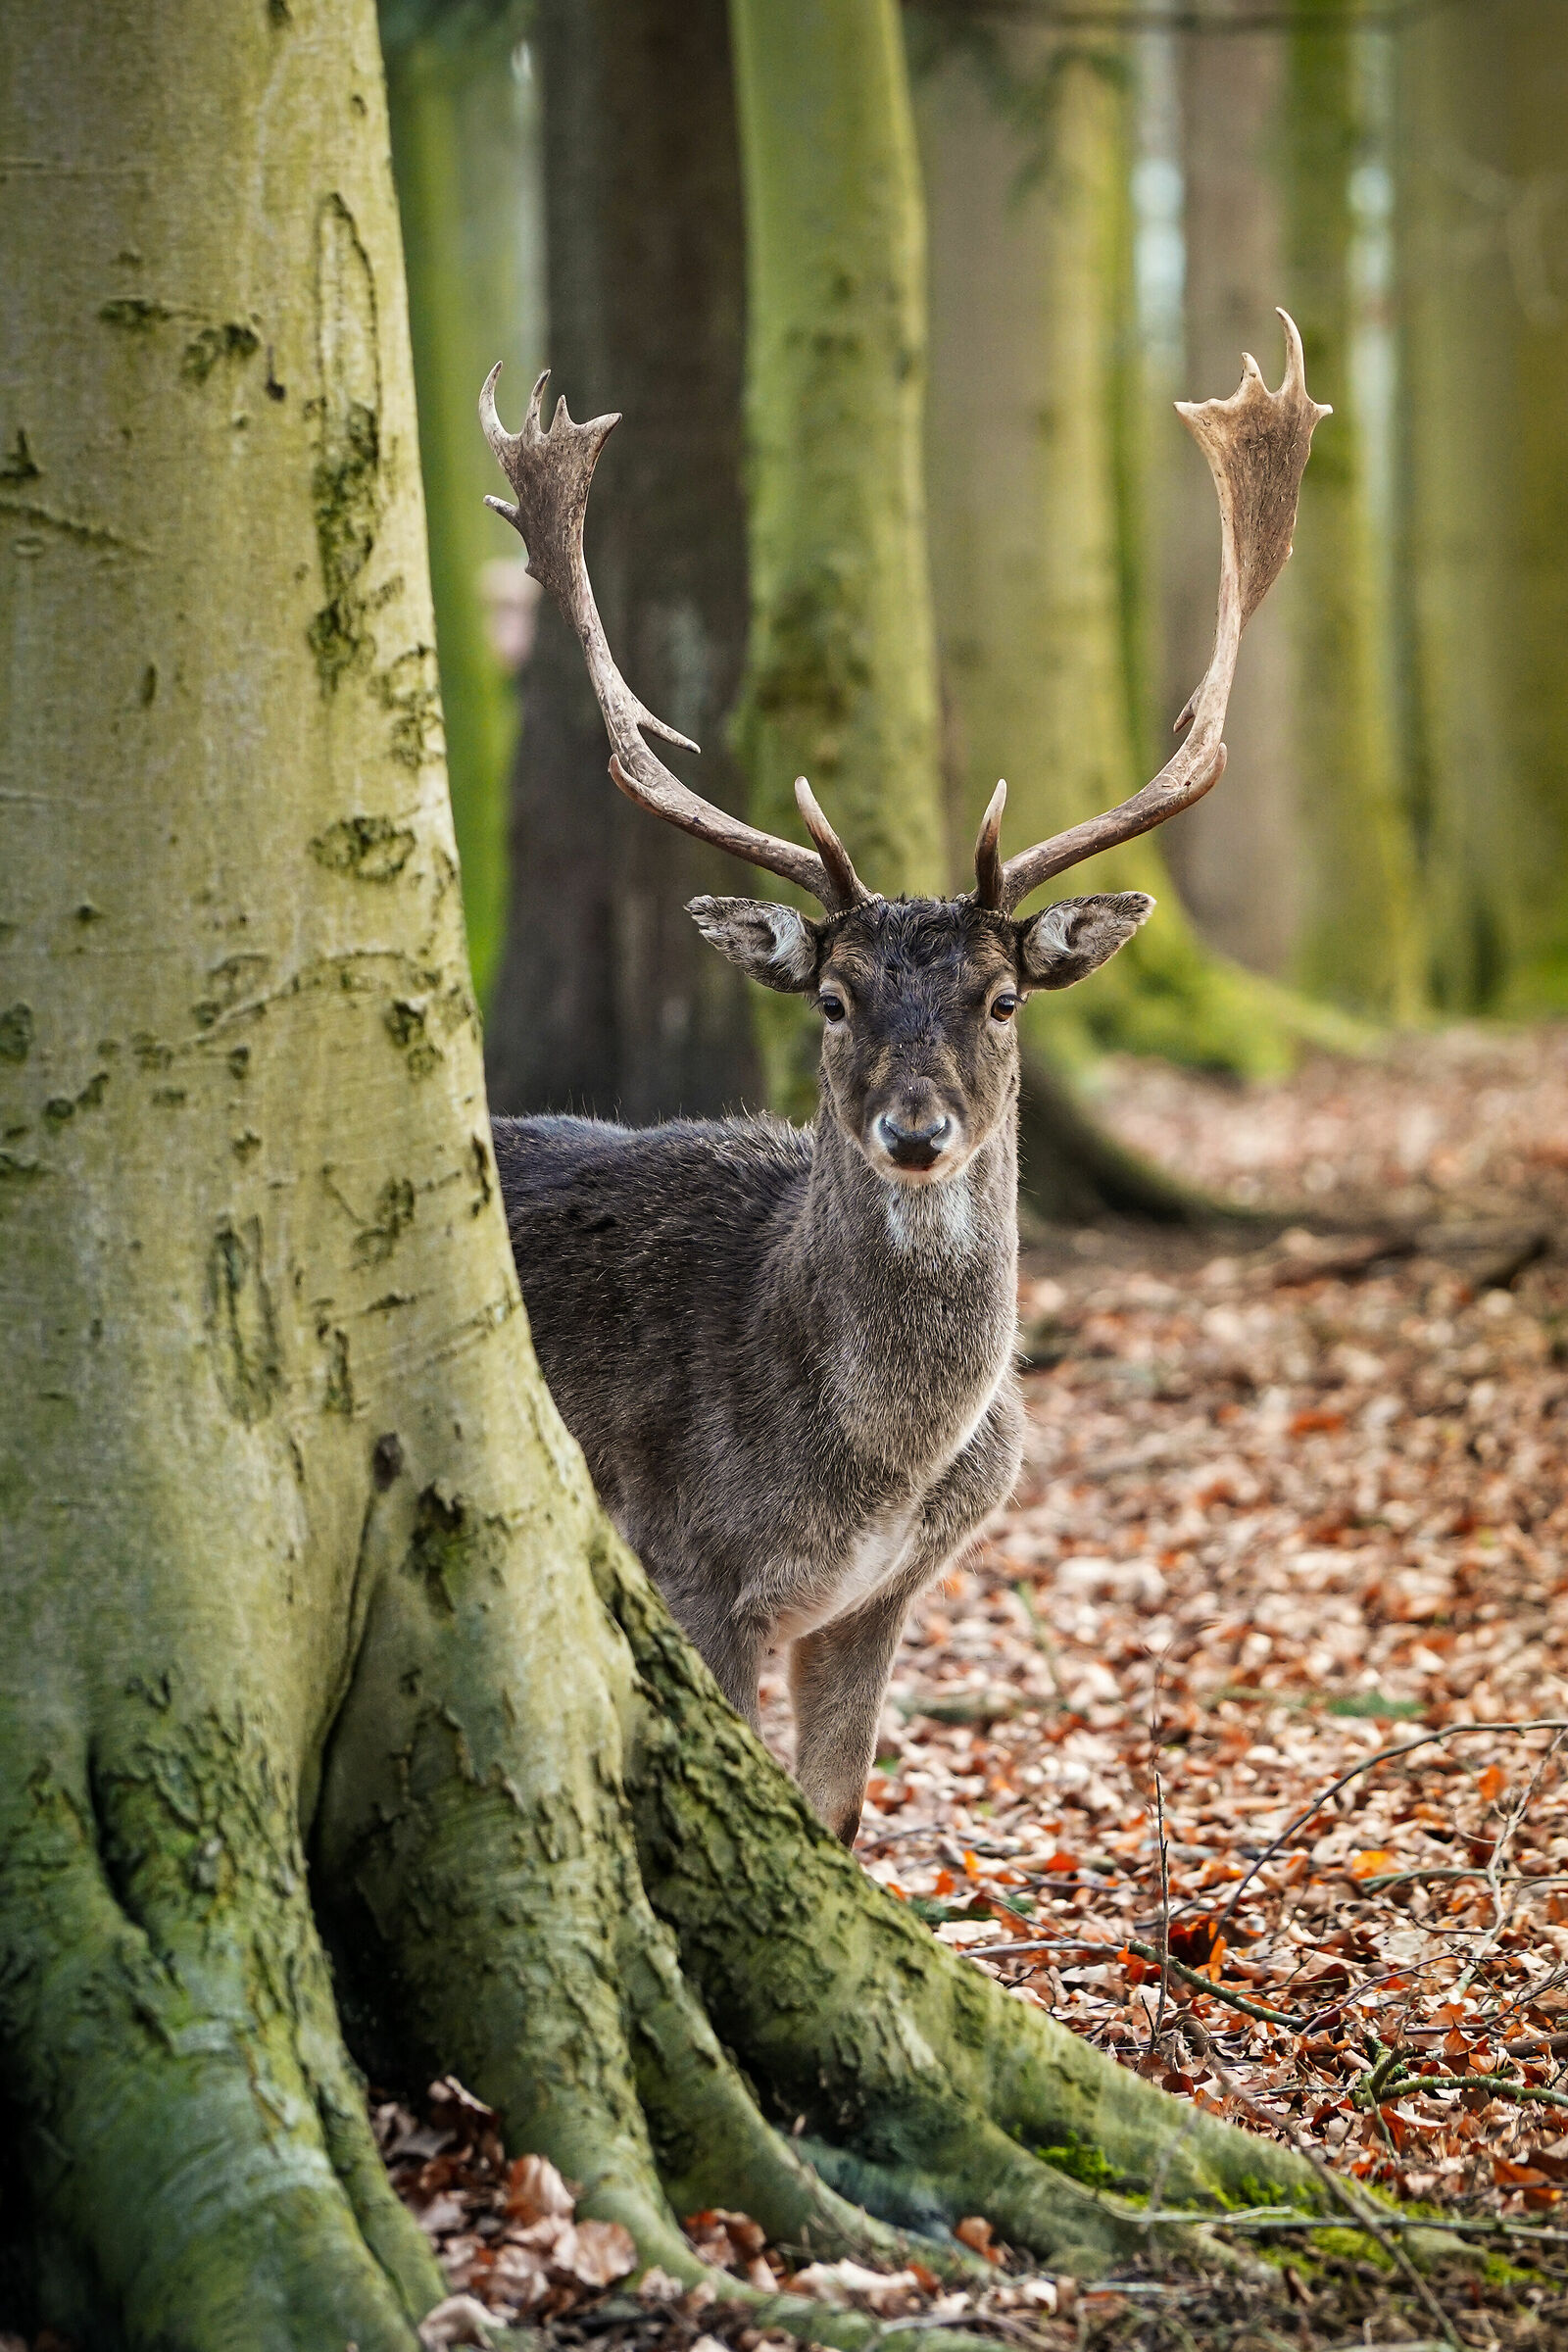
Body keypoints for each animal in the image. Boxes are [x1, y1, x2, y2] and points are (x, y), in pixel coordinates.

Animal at [480, 314, 1327, 1845]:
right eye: (832, 998)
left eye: (1003, 997)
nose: (915, 1129)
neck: (876, 1473)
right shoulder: (693, 1559)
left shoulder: (883, 1598)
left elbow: (834, 1817)